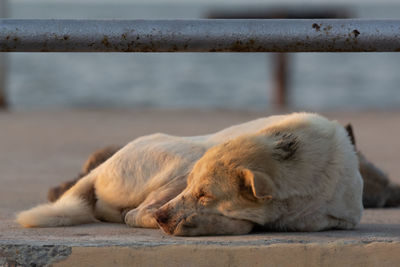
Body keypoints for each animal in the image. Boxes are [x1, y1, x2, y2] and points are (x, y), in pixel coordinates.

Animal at [17, 113, 364, 237]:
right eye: (194, 189)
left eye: (206, 195)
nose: (164, 218)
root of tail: (101, 166)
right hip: (184, 159)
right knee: (135, 213)